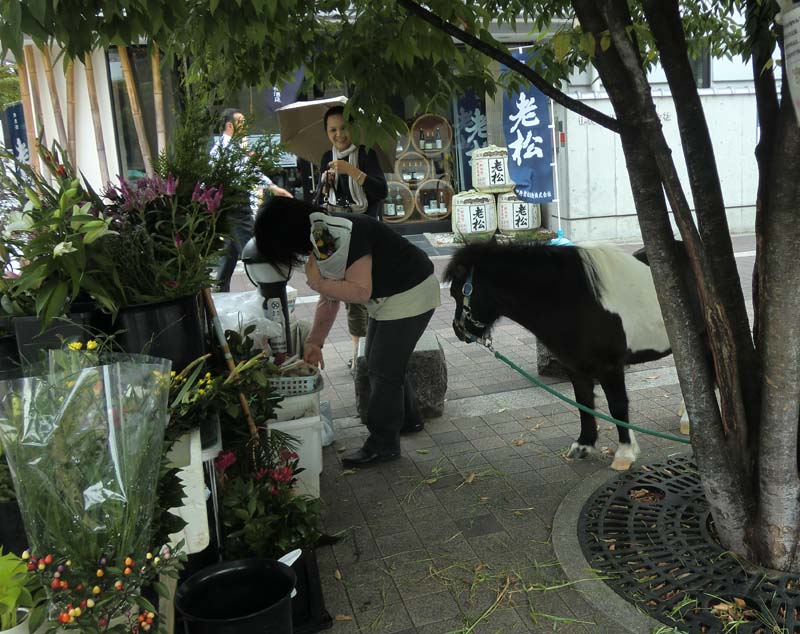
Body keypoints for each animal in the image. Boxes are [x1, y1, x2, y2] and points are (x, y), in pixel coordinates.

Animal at [444, 239, 680, 466]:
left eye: (456, 292)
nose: (458, 330)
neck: (577, 301)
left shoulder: (610, 367)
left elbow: (618, 406)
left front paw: (624, 453)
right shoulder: (575, 366)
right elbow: (584, 402)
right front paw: (584, 445)